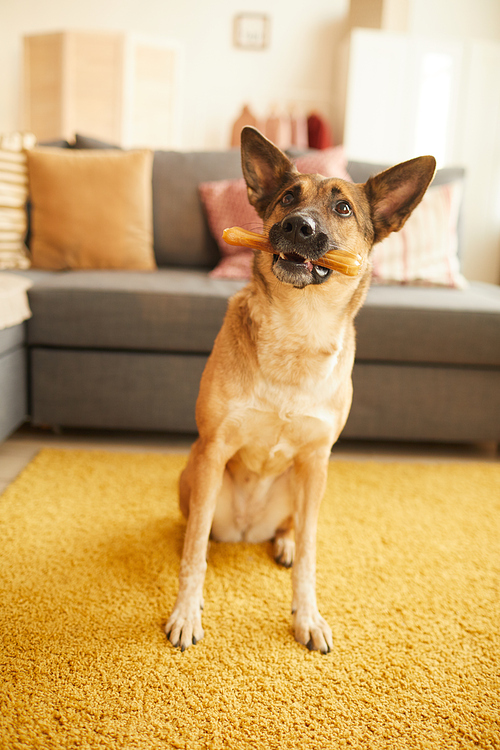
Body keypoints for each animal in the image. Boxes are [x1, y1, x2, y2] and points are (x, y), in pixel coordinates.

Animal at [166, 128, 436, 652]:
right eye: (288, 197)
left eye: (344, 208)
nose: (298, 227)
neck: (297, 329)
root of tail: (247, 531)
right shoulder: (214, 447)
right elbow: (194, 556)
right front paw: (187, 611)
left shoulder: (315, 461)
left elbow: (311, 553)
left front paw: (307, 616)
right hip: (195, 470)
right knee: (199, 533)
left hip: (300, 485)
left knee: (292, 528)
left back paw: (284, 541)